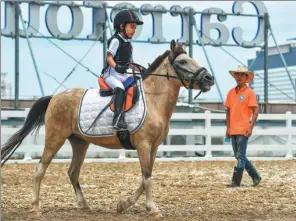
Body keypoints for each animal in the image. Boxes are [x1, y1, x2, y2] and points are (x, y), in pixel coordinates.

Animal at [1, 39, 214, 218]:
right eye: (183, 62)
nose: (209, 78)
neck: (154, 100)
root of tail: (55, 97)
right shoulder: (143, 145)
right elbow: (147, 177)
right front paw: (152, 209)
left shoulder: (153, 147)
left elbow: (145, 177)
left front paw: (123, 204)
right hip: (55, 139)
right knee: (40, 168)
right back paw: (35, 207)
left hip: (80, 142)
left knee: (73, 172)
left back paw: (84, 205)